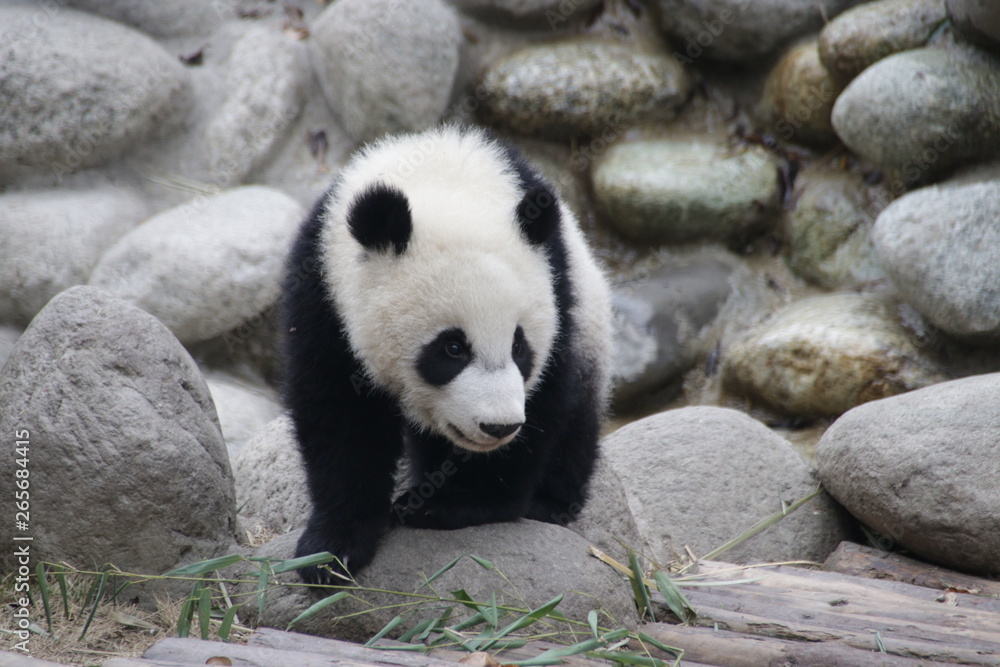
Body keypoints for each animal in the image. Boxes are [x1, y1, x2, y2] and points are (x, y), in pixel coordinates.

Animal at [282, 125, 612, 585]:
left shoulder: (559, 289)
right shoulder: (323, 292)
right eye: (452, 348)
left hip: (590, 321)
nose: (498, 426)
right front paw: (332, 549)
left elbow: (547, 396)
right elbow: (338, 412)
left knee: (577, 419)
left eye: (518, 346)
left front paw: (455, 505)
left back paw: (549, 502)